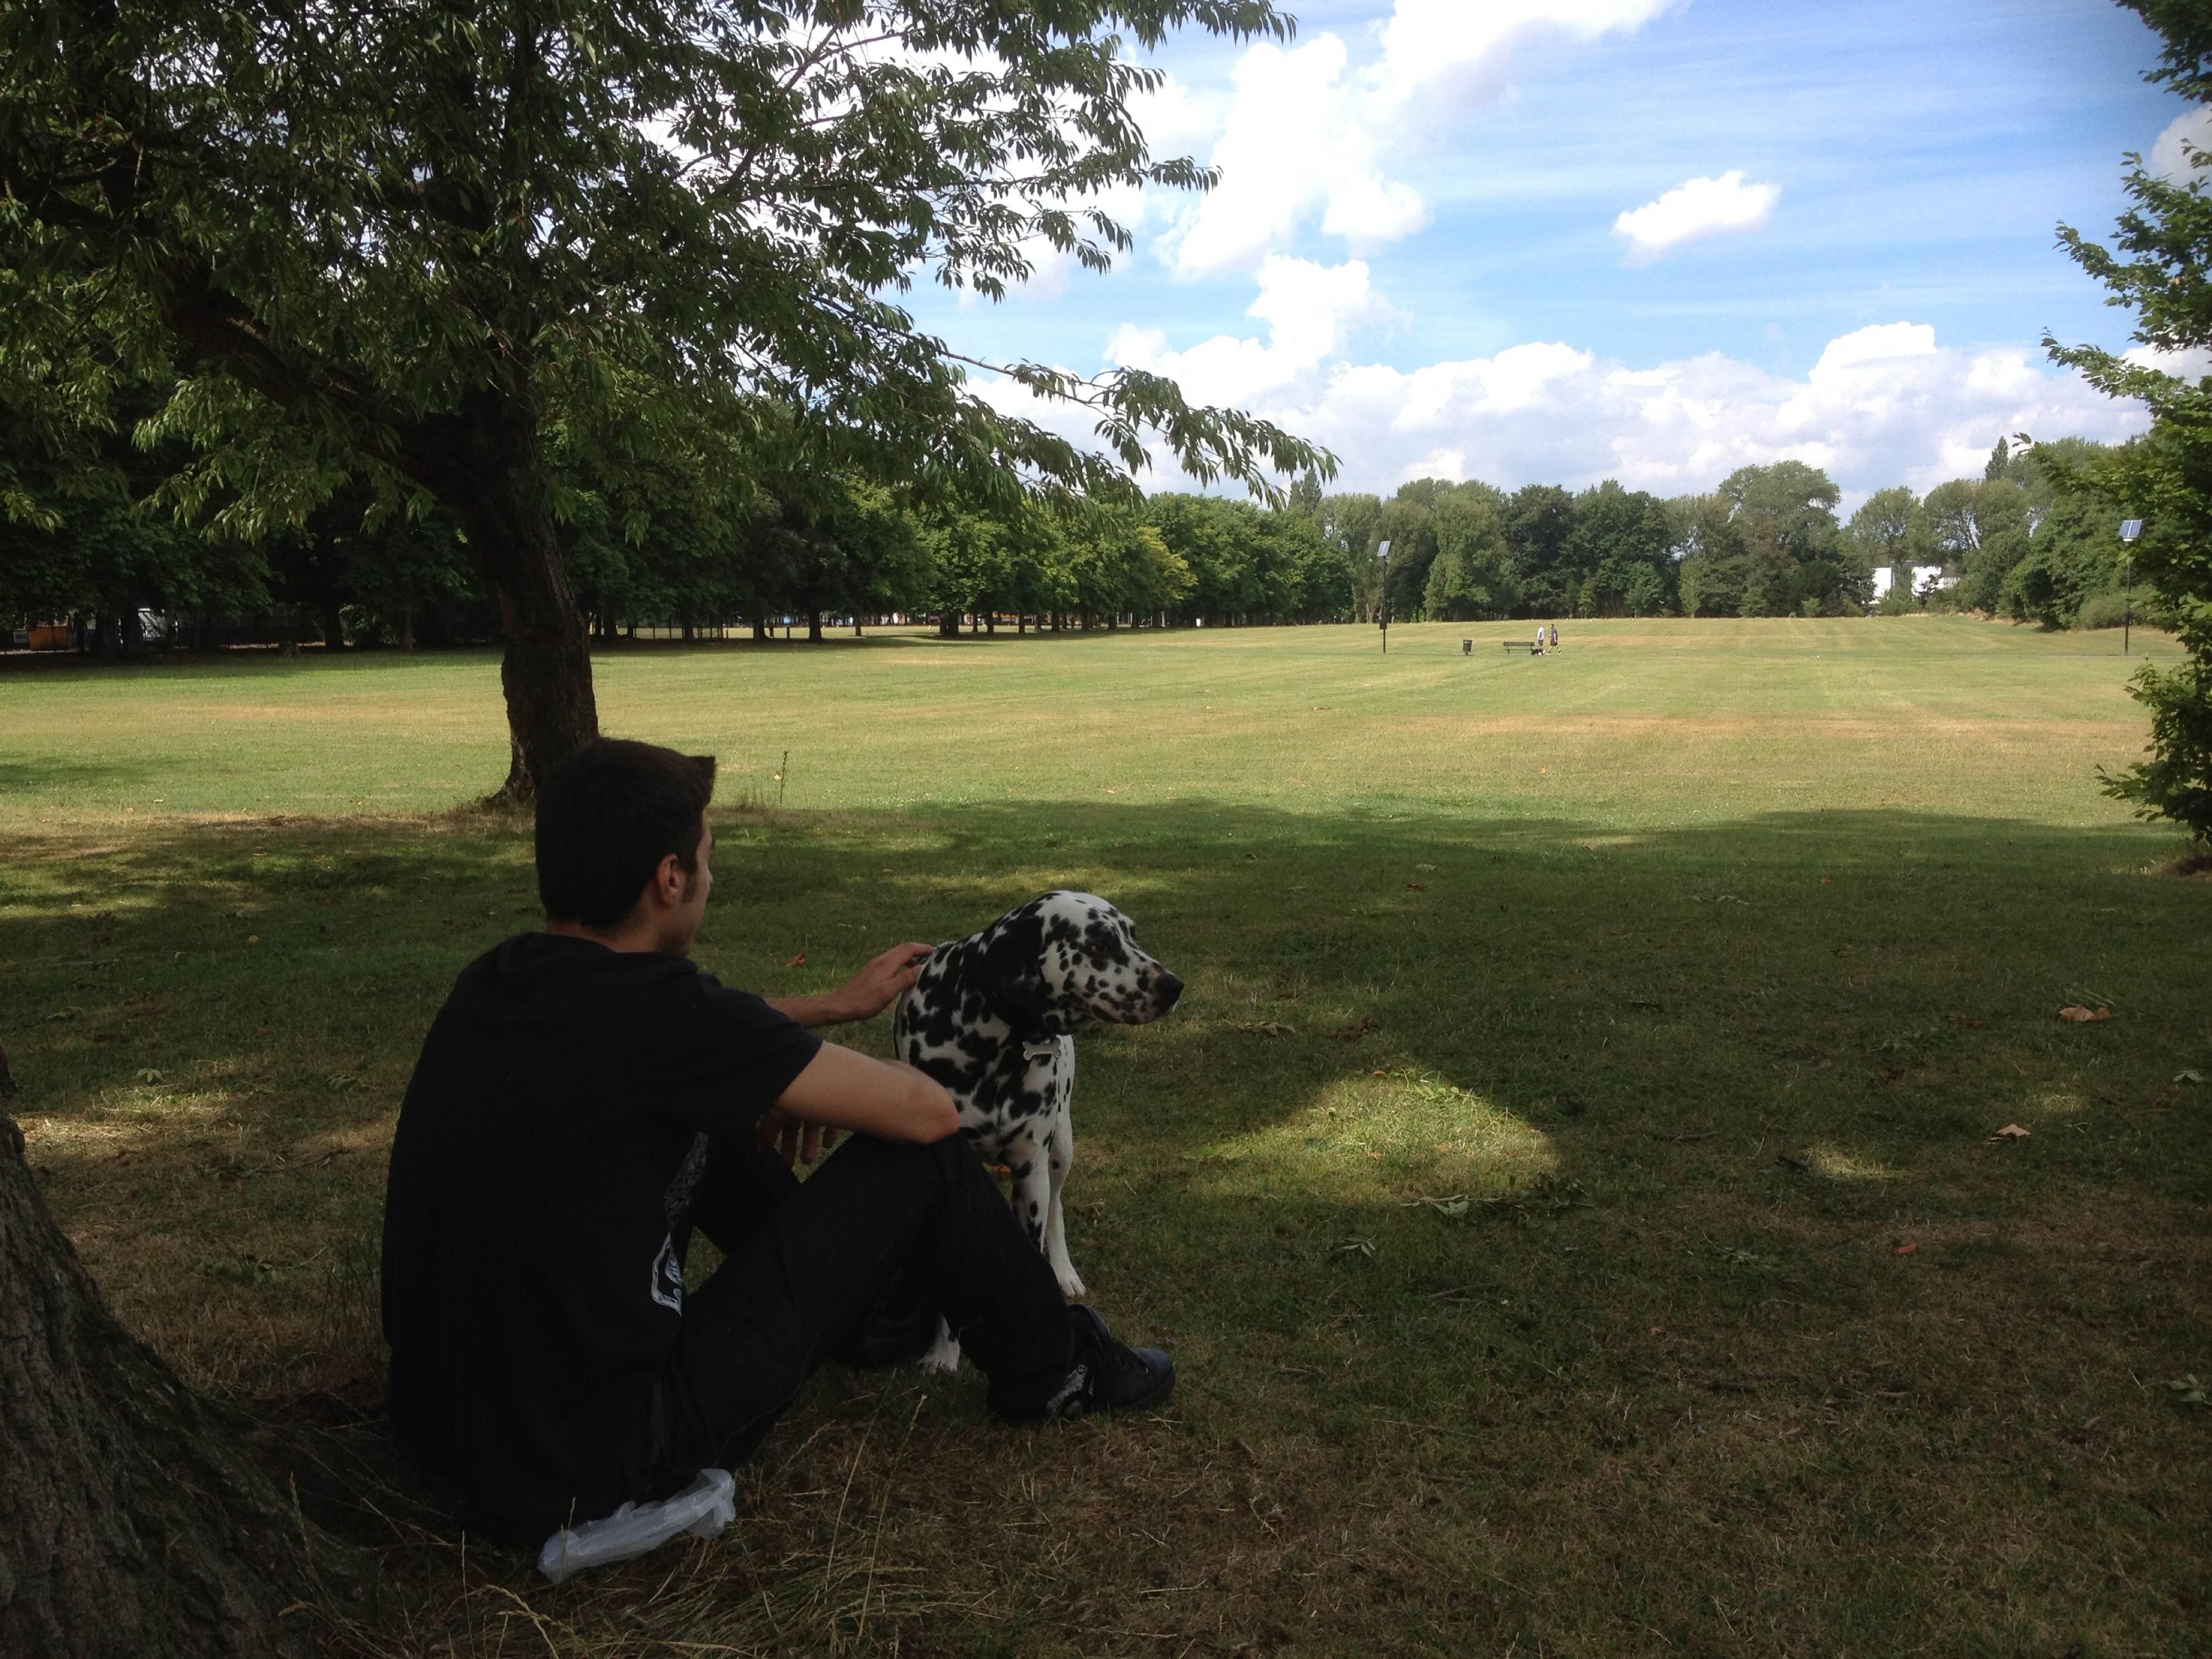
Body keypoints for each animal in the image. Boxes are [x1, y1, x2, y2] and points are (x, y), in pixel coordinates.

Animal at [889, 898, 1186, 1380]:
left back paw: (1064, 1270)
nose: (1174, 986)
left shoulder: (1031, 1172)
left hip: (1060, 1152)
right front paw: (943, 1352)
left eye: (1133, 935)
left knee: (1056, 1208)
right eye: (1099, 944)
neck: (990, 1045)